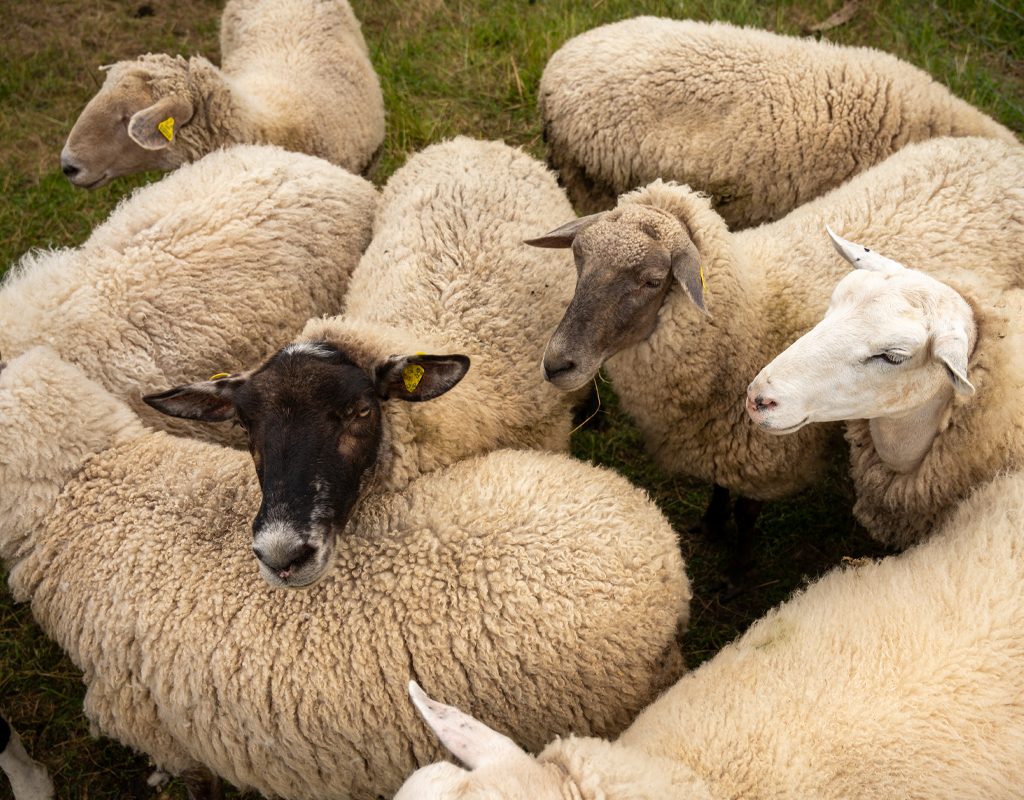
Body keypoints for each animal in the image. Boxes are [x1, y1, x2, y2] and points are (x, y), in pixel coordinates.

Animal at [0, 345, 691, 800]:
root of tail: (663, 554)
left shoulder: (161, 729)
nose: (281, 554)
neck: (92, 484)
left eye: (362, 412)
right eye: (243, 423)